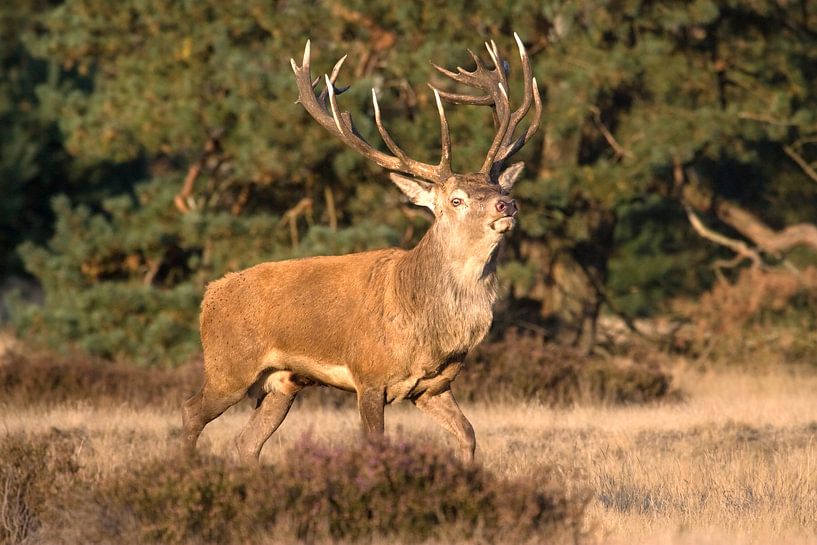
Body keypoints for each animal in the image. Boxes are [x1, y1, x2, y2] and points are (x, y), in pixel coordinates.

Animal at [182, 33, 541, 464]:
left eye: (499, 186)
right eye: (456, 200)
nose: (507, 205)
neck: (426, 323)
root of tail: (209, 294)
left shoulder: (434, 386)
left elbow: (468, 434)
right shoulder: (368, 375)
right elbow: (375, 444)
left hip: (282, 383)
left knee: (247, 442)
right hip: (229, 366)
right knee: (191, 411)